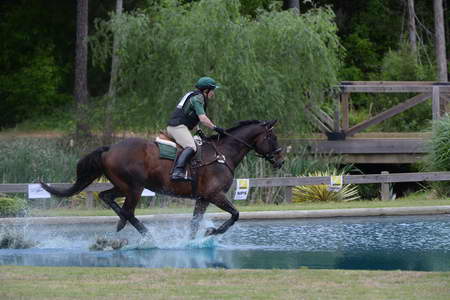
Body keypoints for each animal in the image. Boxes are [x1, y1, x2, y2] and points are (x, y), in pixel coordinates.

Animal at [40, 119, 284, 239]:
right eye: (272, 137)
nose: (281, 160)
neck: (223, 153)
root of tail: (109, 148)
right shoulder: (215, 195)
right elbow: (235, 215)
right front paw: (212, 232)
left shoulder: (203, 198)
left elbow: (195, 223)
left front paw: (193, 242)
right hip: (135, 187)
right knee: (128, 211)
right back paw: (146, 234)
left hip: (124, 186)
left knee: (107, 197)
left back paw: (125, 225)